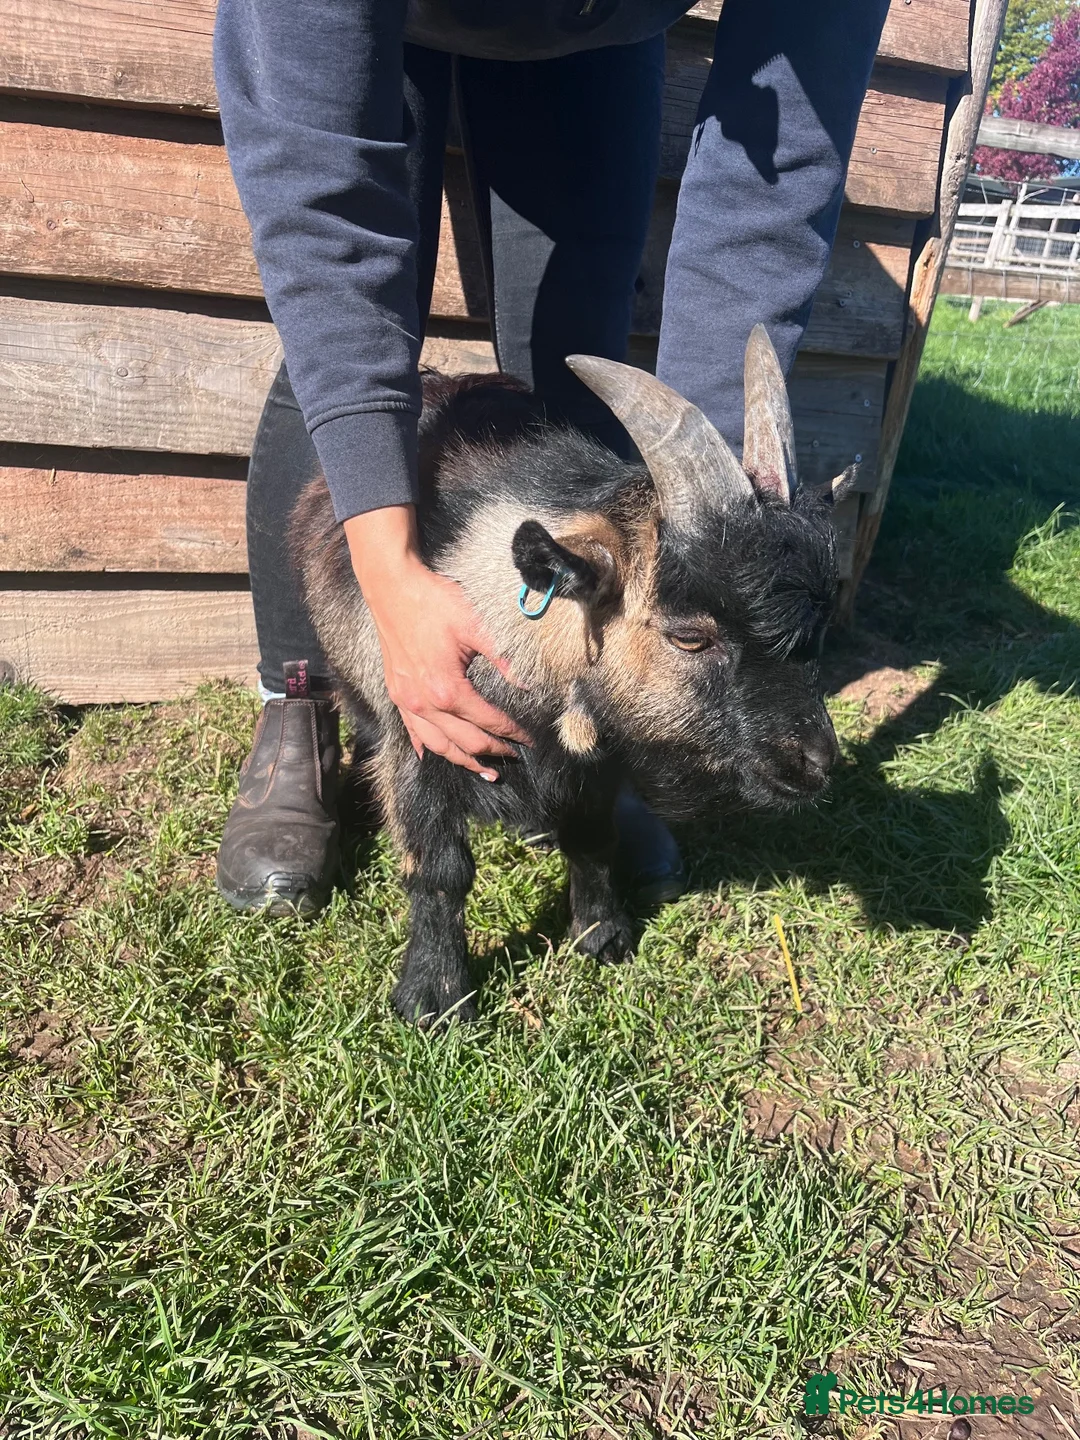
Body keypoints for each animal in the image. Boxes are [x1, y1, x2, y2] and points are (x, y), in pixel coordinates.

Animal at [291, 326, 852, 1024]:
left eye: (822, 623)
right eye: (690, 636)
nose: (817, 762)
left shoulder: (594, 757)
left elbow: (590, 836)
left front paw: (602, 935)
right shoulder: (421, 731)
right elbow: (440, 868)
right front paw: (433, 998)